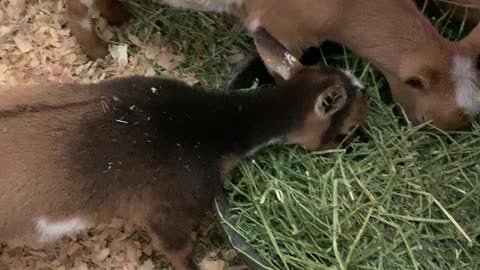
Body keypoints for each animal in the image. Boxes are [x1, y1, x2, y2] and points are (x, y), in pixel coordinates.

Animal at [66, 0, 480, 131]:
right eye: (454, 115)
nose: (450, 133)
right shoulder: (283, 28)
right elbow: (283, 70)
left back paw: (119, 16)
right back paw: (97, 52)